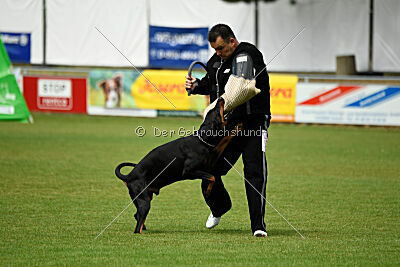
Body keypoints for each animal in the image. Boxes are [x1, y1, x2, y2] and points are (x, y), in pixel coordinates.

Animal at [114, 99, 242, 234]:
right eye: (216, 110)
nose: (220, 99)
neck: (201, 141)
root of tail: (129, 176)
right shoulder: (189, 172)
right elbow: (211, 177)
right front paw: (207, 192)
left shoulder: (212, 161)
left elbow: (225, 141)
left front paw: (239, 125)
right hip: (144, 201)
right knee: (138, 224)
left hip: (146, 197)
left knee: (137, 215)